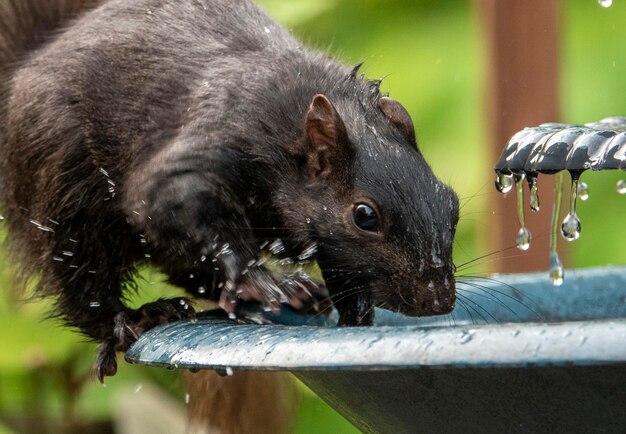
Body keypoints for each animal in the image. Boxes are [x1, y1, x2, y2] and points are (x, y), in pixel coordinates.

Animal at [0, 0, 458, 380]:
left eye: (451, 204)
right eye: (365, 216)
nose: (438, 301)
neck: (285, 124)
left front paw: (354, 318)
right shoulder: (211, 143)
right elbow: (174, 203)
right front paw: (261, 280)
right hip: (62, 186)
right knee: (83, 281)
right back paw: (132, 320)